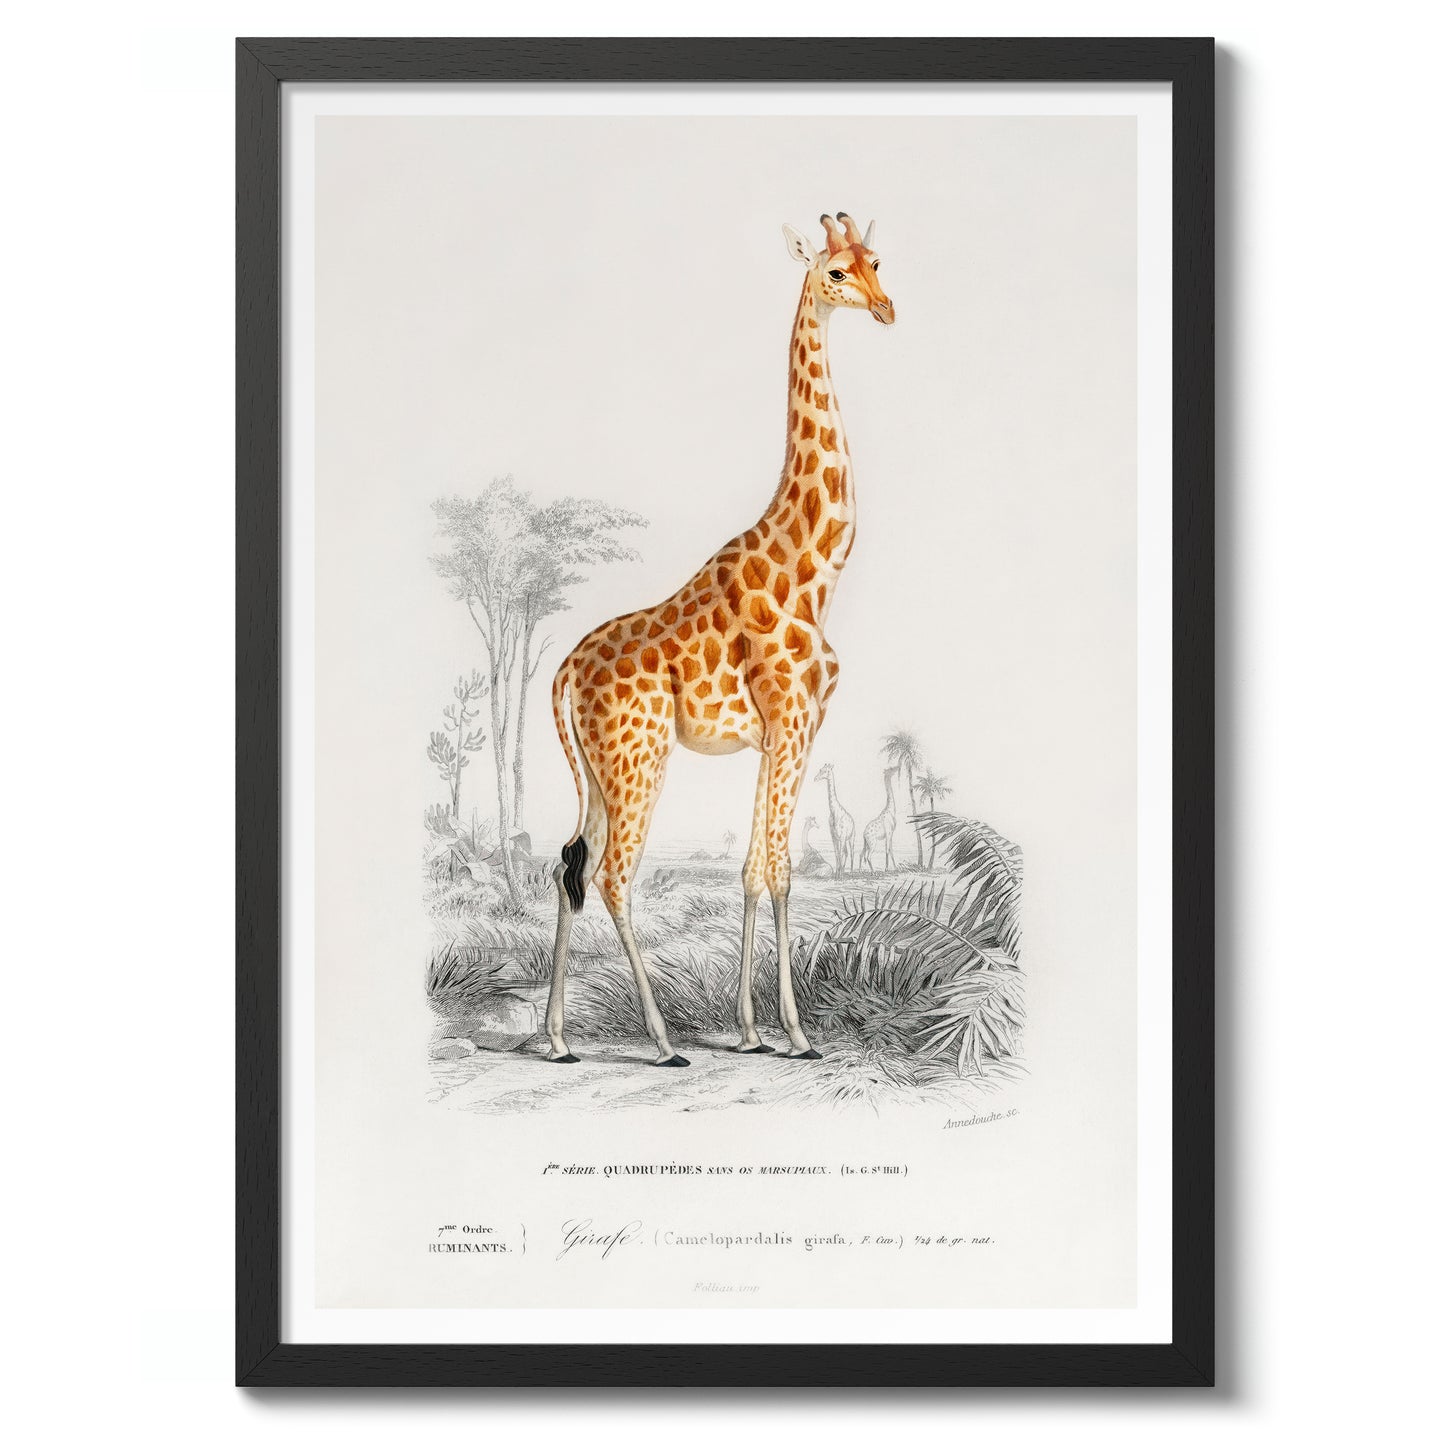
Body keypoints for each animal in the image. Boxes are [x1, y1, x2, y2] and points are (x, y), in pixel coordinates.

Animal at [543, 211, 894, 1067]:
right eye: (834, 272)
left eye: (877, 261)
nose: (885, 308)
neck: (814, 569)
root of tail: (562, 671)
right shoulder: (793, 722)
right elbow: (781, 870)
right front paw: (796, 1033)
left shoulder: (781, 734)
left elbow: (753, 868)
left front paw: (752, 1029)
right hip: (637, 760)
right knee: (612, 876)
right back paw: (664, 1040)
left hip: (599, 771)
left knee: (568, 863)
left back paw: (557, 1039)